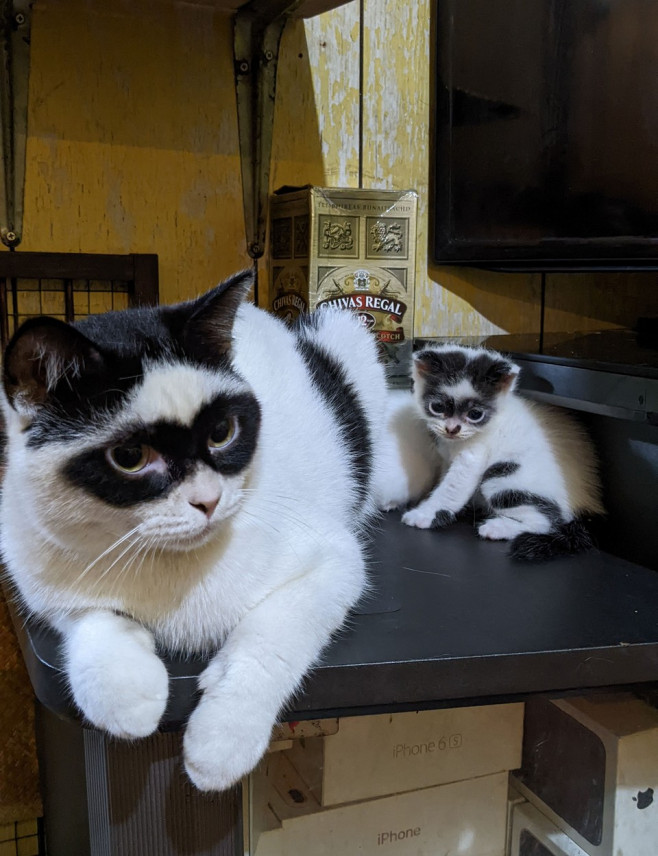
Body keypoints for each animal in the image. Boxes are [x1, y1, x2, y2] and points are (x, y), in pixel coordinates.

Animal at [0, 272, 390, 788]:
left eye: (222, 432)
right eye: (130, 457)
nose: (208, 501)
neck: (165, 560)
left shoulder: (334, 561)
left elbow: (271, 637)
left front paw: (223, 735)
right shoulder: (41, 575)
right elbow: (90, 618)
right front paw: (125, 690)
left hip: (345, 329)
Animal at [398, 344, 604, 560]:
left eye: (475, 414)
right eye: (437, 407)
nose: (452, 429)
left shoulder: (473, 457)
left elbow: (450, 489)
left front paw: (425, 514)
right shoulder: (447, 458)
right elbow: (444, 480)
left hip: (504, 478)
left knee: (544, 521)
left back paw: (497, 527)